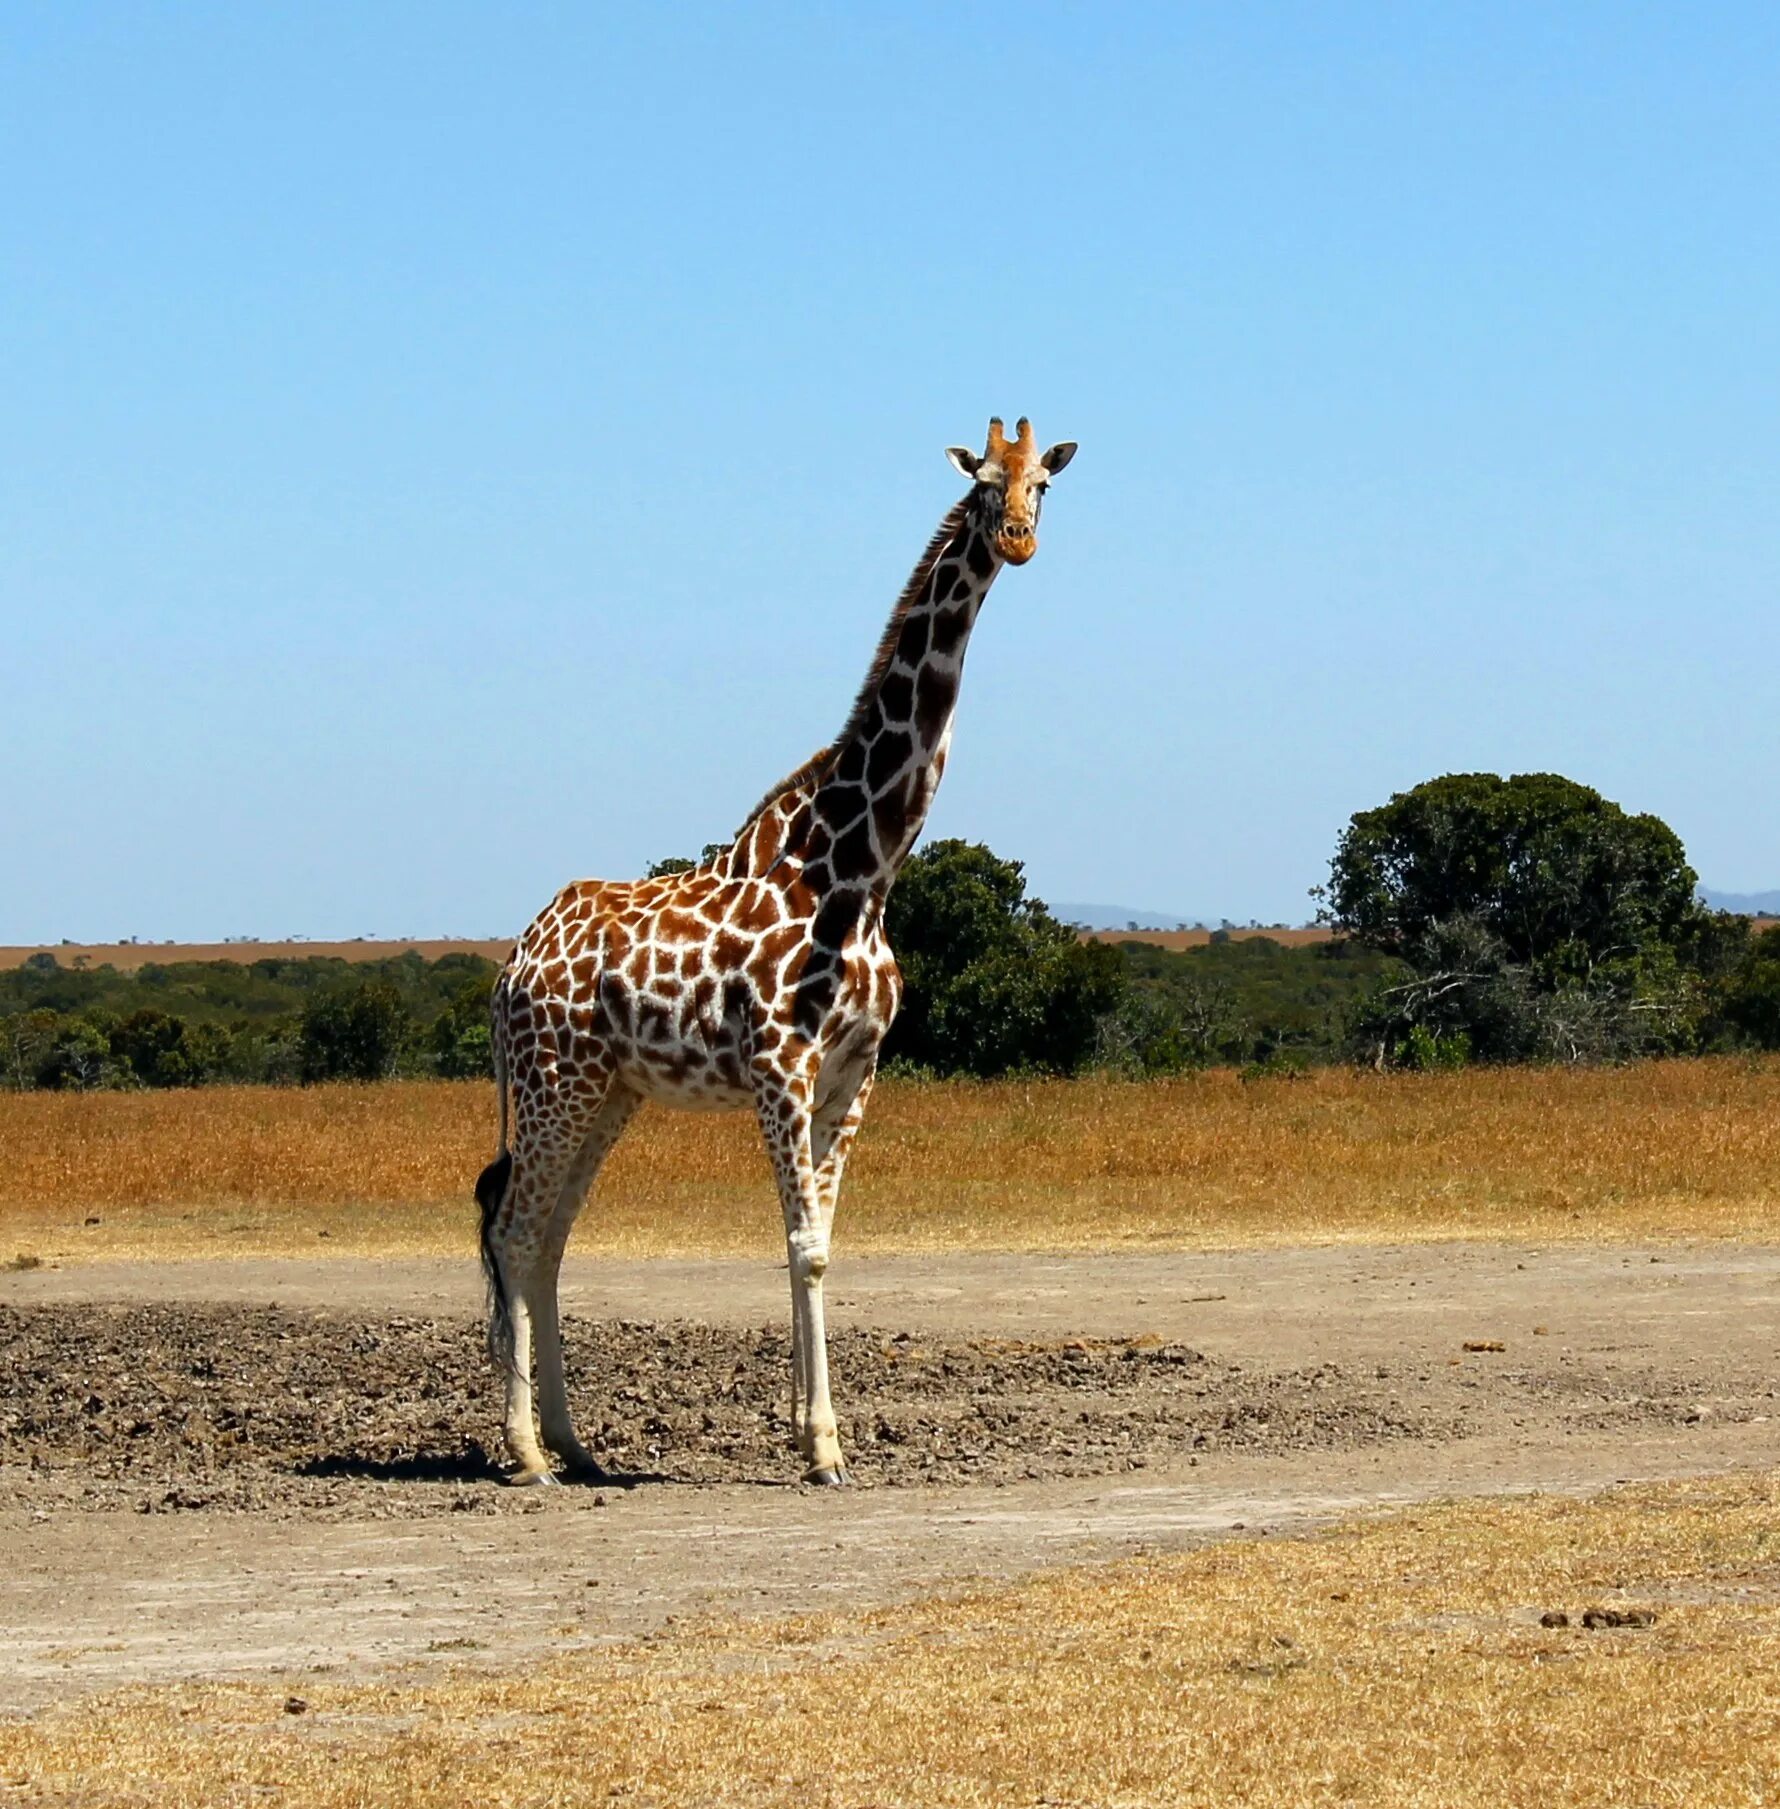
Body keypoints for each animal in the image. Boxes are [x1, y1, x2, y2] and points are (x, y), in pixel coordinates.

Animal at [473, 414, 1078, 1483]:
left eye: (1042, 483)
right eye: (980, 482)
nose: (1015, 539)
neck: (862, 866)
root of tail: (512, 967)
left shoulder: (852, 1073)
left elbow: (817, 1240)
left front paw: (809, 1431)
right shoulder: (781, 1068)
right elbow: (805, 1245)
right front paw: (824, 1445)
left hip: (608, 1092)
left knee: (548, 1237)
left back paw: (578, 1445)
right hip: (553, 1082)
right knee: (513, 1226)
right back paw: (527, 1452)